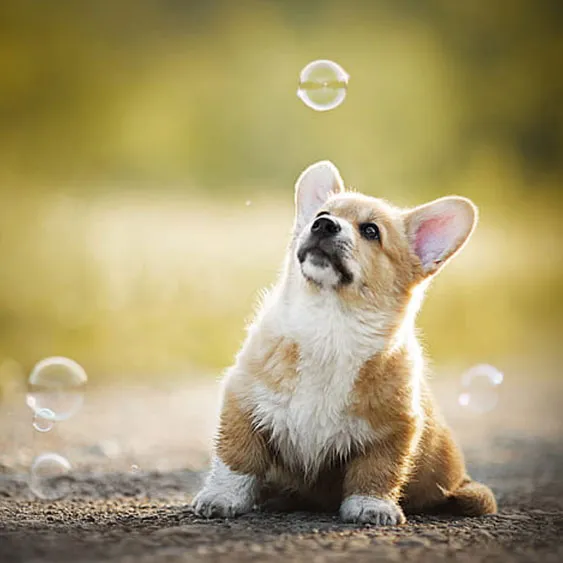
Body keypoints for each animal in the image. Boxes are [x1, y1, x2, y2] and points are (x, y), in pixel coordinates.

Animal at [193, 161, 498, 528]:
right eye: (322, 214)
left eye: (370, 231)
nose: (323, 225)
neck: (330, 325)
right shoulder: (243, 403)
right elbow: (236, 459)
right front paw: (221, 498)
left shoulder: (393, 429)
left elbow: (377, 472)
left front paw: (372, 507)